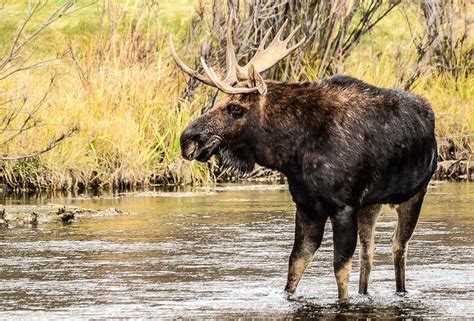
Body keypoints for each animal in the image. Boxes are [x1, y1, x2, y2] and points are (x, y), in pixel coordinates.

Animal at [170, 18, 436, 300]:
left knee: (398, 246)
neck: (291, 152)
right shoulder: (307, 205)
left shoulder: (343, 206)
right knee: (369, 251)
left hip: (414, 194)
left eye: (235, 108)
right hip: (371, 204)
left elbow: (340, 272)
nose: (188, 138)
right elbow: (295, 266)